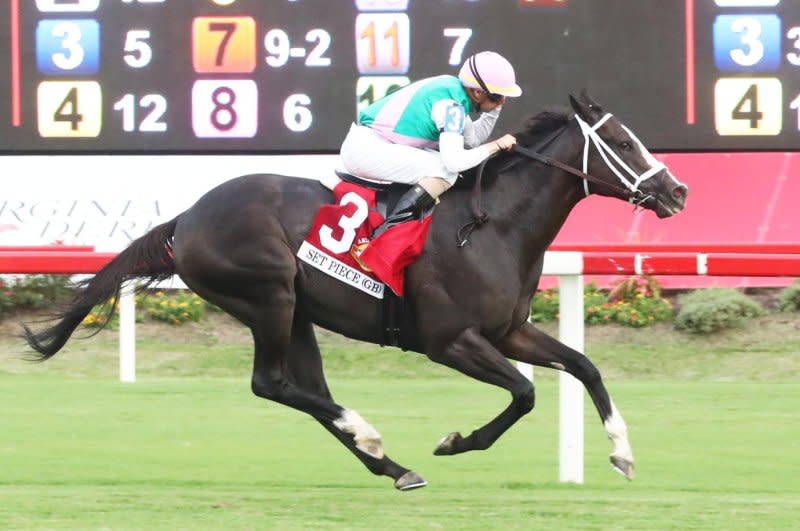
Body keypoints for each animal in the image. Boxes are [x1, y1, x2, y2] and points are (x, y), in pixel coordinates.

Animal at [23, 93, 688, 492]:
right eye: (622, 144)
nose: (677, 191)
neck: (493, 224)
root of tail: (186, 218)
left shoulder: (509, 331)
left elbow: (584, 366)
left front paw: (623, 452)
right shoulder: (450, 340)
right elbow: (524, 394)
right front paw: (457, 442)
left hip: (296, 313)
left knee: (306, 391)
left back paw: (391, 465)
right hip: (267, 296)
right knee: (272, 385)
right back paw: (370, 435)